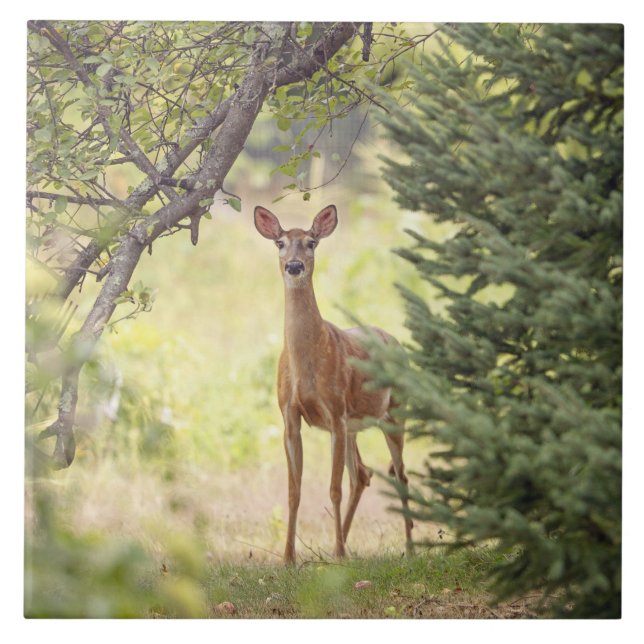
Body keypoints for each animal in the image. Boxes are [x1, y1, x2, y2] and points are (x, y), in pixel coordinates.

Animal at [254, 204, 414, 564]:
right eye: (280, 242)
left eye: (311, 242)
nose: (294, 266)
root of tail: (396, 342)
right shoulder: (289, 416)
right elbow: (294, 490)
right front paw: (288, 557)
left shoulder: (336, 412)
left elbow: (333, 488)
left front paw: (338, 553)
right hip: (355, 425)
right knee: (363, 474)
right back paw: (341, 545)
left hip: (394, 412)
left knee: (399, 474)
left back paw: (408, 548)